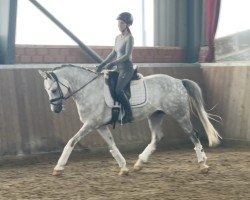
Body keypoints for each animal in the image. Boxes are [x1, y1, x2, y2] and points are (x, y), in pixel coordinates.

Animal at [38, 64, 221, 177]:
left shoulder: (90, 124)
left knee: (193, 135)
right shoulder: (99, 126)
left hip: (179, 114)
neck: (88, 89)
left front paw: (58, 168)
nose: (55, 110)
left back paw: (203, 164)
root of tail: (179, 81)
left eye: (53, 90)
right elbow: (112, 146)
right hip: (156, 115)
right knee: (157, 137)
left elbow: (71, 141)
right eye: (46, 90)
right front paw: (124, 168)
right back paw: (139, 163)